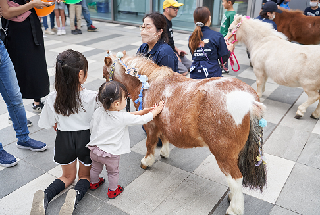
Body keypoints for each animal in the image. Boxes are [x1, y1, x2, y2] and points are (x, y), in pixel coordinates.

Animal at [104, 52, 266, 215]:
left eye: (105, 73)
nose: (104, 99)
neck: (150, 82)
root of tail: (251, 102)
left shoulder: (151, 125)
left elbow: (150, 144)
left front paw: (147, 161)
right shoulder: (164, 123)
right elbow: (164, 137)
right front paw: (164, 152)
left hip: (223, 153)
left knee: (236, 178)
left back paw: (234, 209)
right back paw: (232, 197)